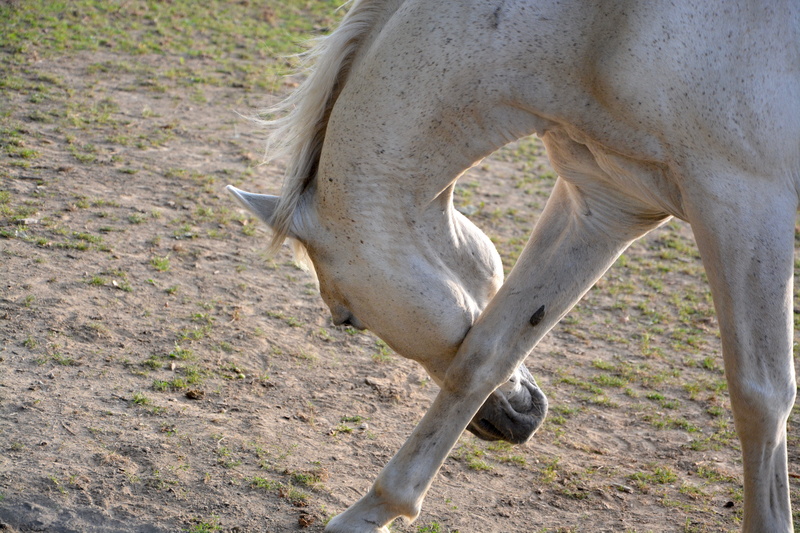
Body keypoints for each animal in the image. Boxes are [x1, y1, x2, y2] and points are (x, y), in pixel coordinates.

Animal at [227, 0, 800, 531]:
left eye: (347, 319)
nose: (520, 421)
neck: (603, 29)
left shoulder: (744, 203)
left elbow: (761, 398)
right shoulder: (606, 201)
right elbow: (487, 353)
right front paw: (372, 512)